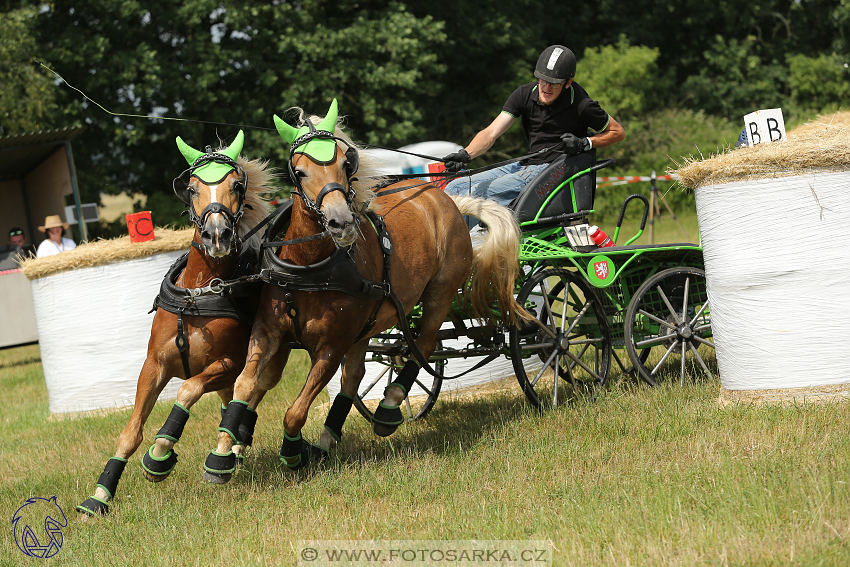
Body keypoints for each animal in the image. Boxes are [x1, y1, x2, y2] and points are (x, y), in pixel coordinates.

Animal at [78, 134, 274, 520]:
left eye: (236, 185)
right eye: (193, 188)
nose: (216, 234)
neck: (198, 293)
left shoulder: (226, 364)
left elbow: (187, 390)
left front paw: (160, 455)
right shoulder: (155, 365)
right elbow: (131, 431)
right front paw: (99, 496)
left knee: (247, 395)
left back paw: (225, 454)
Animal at [202, 100, 528, 482]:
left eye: (346, 163)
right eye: (299, 171)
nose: (341, 222)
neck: (311, 268)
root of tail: (450, 202)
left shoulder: (331, 346)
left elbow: (295, 411)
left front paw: (293, 453)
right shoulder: (269, 333)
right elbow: (244, 385)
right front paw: (223, 453)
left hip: (439, 292)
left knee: (424, 345)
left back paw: (387, 408)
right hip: (367, 324)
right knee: (357, 375)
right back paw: (327, 440)